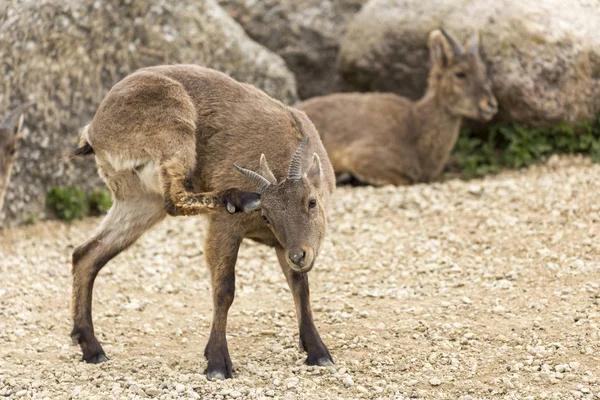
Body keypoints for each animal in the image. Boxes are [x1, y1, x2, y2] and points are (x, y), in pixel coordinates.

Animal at [69, 65, 338, 378]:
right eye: (267, 215)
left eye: (311, 201)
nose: (300, 255)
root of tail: (94, 130)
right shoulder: (224, 230)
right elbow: (224, 290)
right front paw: (218, 362)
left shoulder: (284, 244)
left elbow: (300, 285)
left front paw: (318, 352)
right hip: (174, 128)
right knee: (174, 199)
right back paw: (239, 197)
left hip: (139, 201)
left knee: (87, 254)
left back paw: (92, 348)